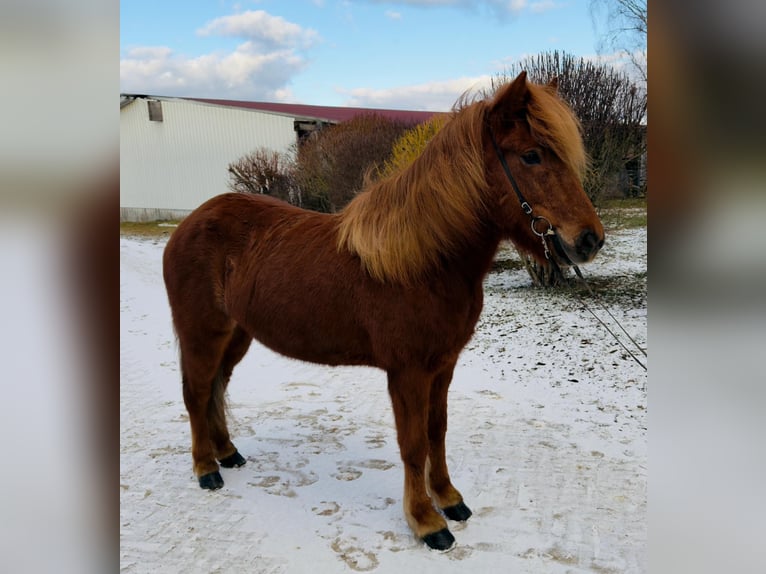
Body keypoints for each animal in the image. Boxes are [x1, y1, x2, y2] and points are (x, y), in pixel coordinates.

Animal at [162, 71, 604, 551]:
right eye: (531, 155)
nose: (590, 240)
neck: (422, 261)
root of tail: (188, 224)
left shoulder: (442, 366)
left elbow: (436, 432)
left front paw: (449, 499)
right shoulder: (407, 372)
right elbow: (412, 444)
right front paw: (426, 522)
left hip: (236, 334)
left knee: (217, 387)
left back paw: (227, 453)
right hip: (202, 332)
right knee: (196, 392)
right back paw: (206, 469)